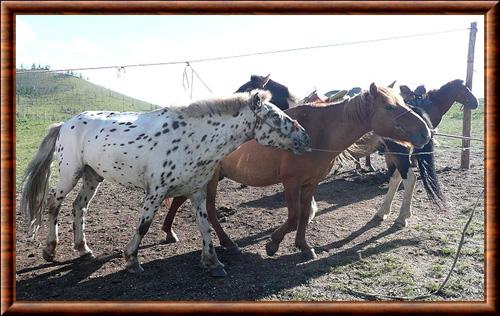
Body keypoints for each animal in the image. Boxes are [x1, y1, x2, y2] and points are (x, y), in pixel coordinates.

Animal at [21, 89, 310, 276]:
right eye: (276, 117)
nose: (305, 138)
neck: (194, 139)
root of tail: (64, 123)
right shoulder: (155, 193)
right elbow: (144, 226)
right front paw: (132, 261)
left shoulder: (196, 192)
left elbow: (205, 226)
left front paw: (213, 262)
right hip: (70, 174)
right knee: (54, 204)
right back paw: (49, 250)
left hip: (93, 176)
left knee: (79, 207)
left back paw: (83, 249)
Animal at [162, 83, 432, 260]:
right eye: (389, 107)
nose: (426, 131)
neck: (318, 132)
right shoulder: (291, 183)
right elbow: (293, 217)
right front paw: (273, 244)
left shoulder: (311, 183)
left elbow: (302, 216)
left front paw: (303, 246)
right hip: (210, 179)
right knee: (207, 209)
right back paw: (226, 242)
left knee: (181, 200)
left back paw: (170, 232)